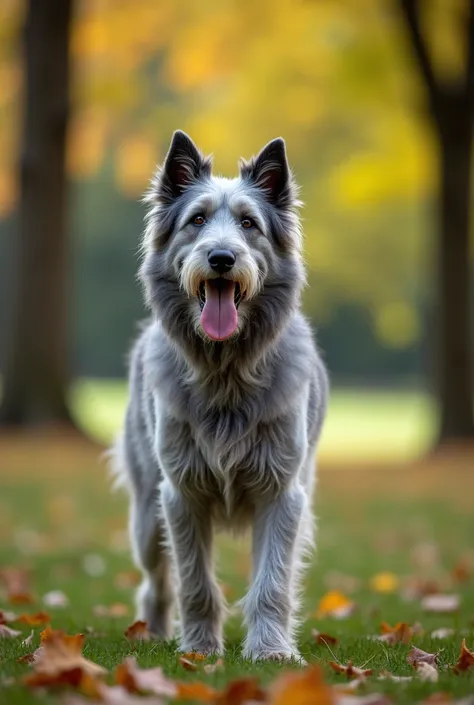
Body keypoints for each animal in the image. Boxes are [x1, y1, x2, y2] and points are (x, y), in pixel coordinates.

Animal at [114, 131, 330, 660]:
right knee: (156, 580)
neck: (226, 371)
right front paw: (199, 649)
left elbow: (272, 581)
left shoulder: (282, 494)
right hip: (146, 514)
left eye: (249, 223)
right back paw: (153, 631)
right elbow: (194, 581)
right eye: (197, 219)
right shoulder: (181, 494)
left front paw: (270, 650)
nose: (221, 259)